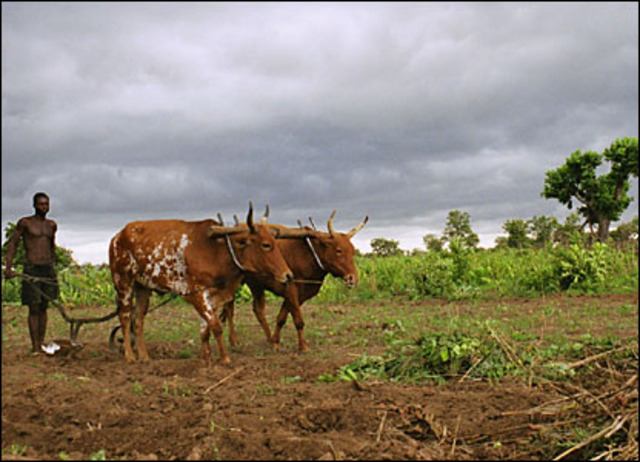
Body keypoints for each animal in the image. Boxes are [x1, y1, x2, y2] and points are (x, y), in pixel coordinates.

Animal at [108, 203, 310, 366]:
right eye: (266, 245)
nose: (288, 275)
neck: (217, 251)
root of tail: (118, 236)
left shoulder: (211, 296)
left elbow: (205, 329)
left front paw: (206, 359)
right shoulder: (196, 294)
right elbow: (216, 325)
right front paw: (225, 358)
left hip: (143, 287)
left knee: (139, 321)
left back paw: (144, 357)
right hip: (123, 283)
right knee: (125, 318)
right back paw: (130, 356)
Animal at [210, 210, 368, 353]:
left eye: (353, 251)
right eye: (338, 250)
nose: (353, 278)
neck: (308, 254)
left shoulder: (296, 295)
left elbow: (281, 317)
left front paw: (275, 342)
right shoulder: (291, 289)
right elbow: (299, 321)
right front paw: (303, 347)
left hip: (256, 284)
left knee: (258, 309)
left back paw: (268, 338)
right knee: (229, 309)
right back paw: (234, 340)